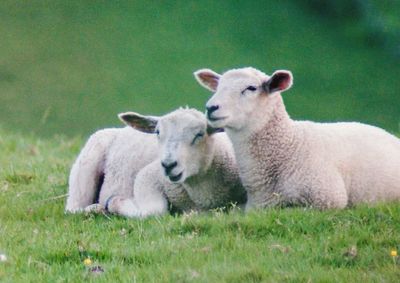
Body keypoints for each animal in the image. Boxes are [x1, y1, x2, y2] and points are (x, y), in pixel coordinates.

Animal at [65, 107, 247, 219]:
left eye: (199, 134)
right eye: (158, 132)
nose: (168, 165)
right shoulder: (149, 176)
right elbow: (154, 211)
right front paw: (114, 203)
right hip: (86, 164)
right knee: (73, 208)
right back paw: (94, 209)